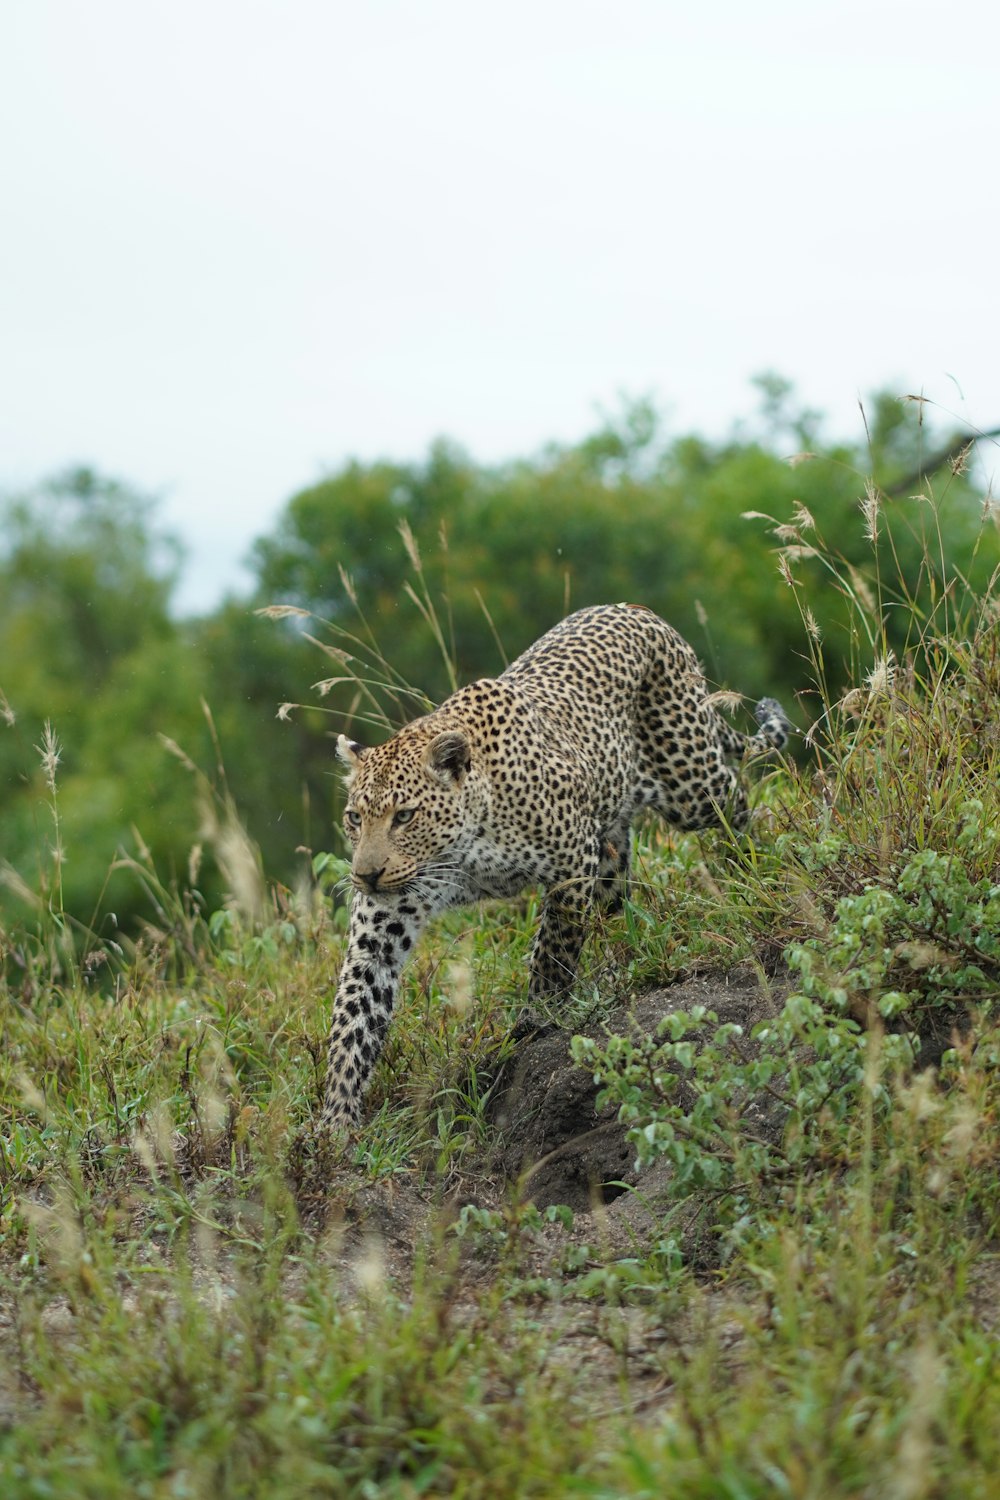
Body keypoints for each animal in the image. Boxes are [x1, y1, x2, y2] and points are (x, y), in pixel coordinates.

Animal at [320, 597, 791, 1128]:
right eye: (355, 818)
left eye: (404, 816)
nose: (365, 875)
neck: (461, 851)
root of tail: (641, 611)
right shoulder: (382, 926)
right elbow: (355, 1017)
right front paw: (336, 1123)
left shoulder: (572, 861)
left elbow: (554, 948)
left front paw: (538, 1016)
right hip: (615, 837)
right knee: (616, 899)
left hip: (692, 783)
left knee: (741, 800)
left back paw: (757, 862)